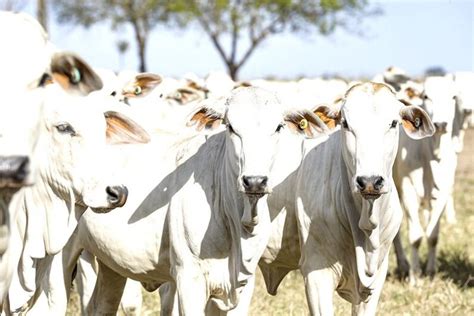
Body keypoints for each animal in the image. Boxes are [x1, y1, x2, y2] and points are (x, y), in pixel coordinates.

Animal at [390, 75, 458, 282]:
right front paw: (414, 276)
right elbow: (415, 236)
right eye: (426, 96)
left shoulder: (442, 192)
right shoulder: (408, 189)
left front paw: (431, 271)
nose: (442, 124)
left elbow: (432, 235)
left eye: (453, 96)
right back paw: (404, 265)